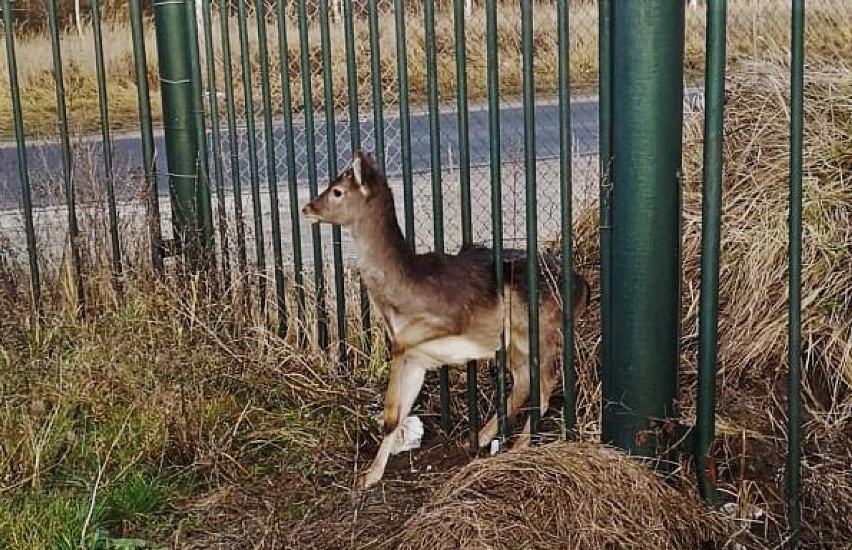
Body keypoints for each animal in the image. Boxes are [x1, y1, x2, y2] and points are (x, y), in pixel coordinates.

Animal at [302, 151, 588, 492]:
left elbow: (393, 396)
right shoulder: (419, 359)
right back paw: (480, 437)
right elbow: (397, 415)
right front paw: (369, 476)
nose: (307, 208)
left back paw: (519, 446)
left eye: (337, 191)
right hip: (511, 345)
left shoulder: (449, 318)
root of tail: (584, 288)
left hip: (538, 329)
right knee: (523, 380)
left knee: (546, 381)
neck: (402, 293)